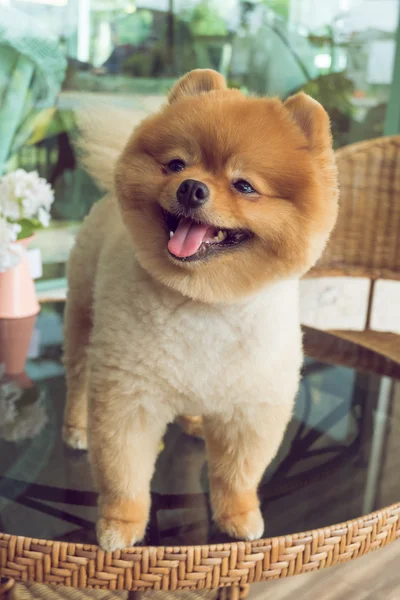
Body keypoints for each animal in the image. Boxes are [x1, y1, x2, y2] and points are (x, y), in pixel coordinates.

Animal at [62, 70, 338, 552]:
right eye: (176, 164)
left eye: (244, 186)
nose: (191, 187)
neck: (204, 302)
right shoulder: (128, 398)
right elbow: (123, 471)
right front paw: (120, 524)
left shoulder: (251, 406)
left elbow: (238, 473)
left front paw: (239, 516)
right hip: (82, 317)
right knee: (77, 376)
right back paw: (75, 427)